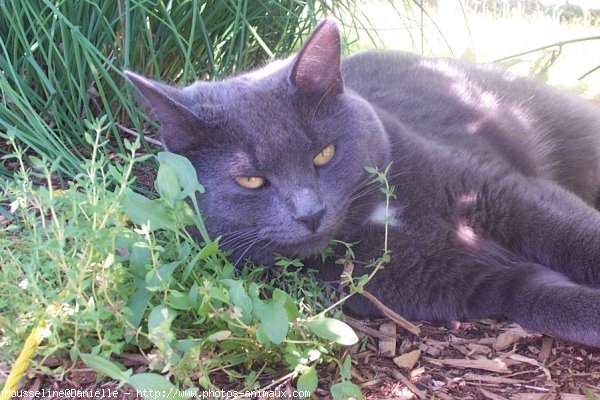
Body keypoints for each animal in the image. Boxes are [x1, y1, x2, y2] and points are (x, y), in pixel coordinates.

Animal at [126, 18, 600, 346]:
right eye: (250, 179)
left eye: (323, 154)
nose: (311, 212)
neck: (375, 218)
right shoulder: (460, 284)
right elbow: (537, 295)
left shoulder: (499, 191)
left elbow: (570, 232)